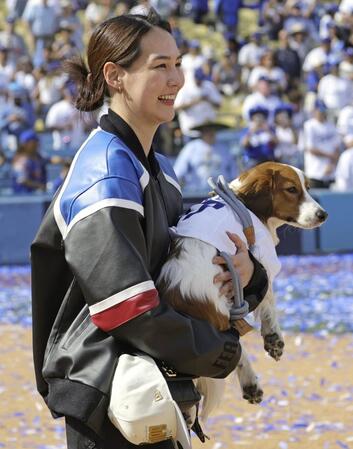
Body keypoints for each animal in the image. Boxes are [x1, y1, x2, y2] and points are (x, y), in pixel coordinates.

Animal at [157, 162, 328, 420]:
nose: (323, 215)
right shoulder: (262, 256)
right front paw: (273, 337)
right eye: (291, 189)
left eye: (307, 188)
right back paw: (251, 384)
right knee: (235, 349)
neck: (244, 204)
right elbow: (269, 299)